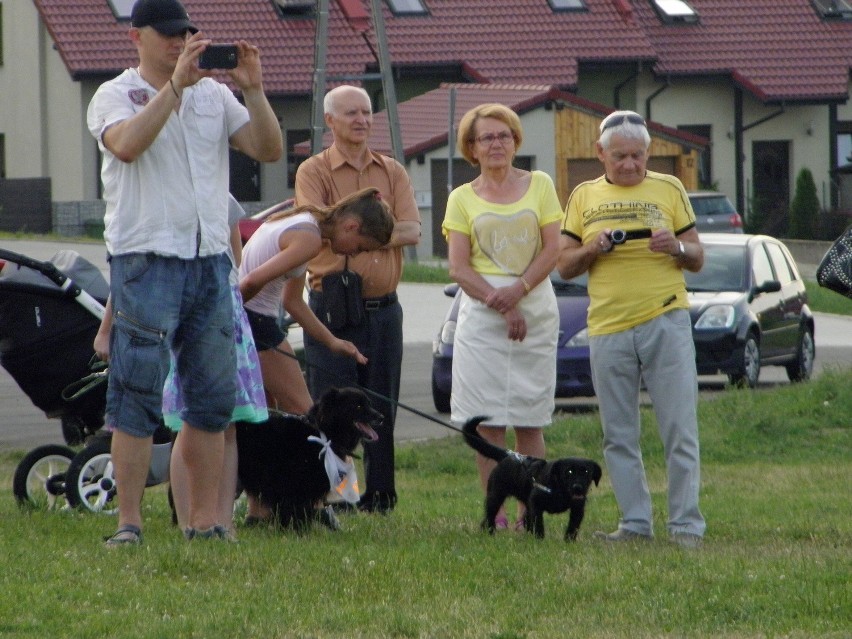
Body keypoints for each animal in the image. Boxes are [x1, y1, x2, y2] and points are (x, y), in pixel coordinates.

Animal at [233, 388, 380, 532]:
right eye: (358, 406)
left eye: (369, 404)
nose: (381, 417)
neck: (321, 432)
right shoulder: (294, 486)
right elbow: (295, 511)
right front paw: (298, 532)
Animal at [462, 418, 604, 544]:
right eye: (568, 472)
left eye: (586, 472)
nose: (578, 487)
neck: (559, 489)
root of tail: (506, 456)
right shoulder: (536, 503)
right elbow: (538, 522)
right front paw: (540, 540)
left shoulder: (578, 508)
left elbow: (573, 526)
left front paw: (569, 541)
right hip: (495, 496)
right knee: (489, 516)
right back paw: (490, 533)